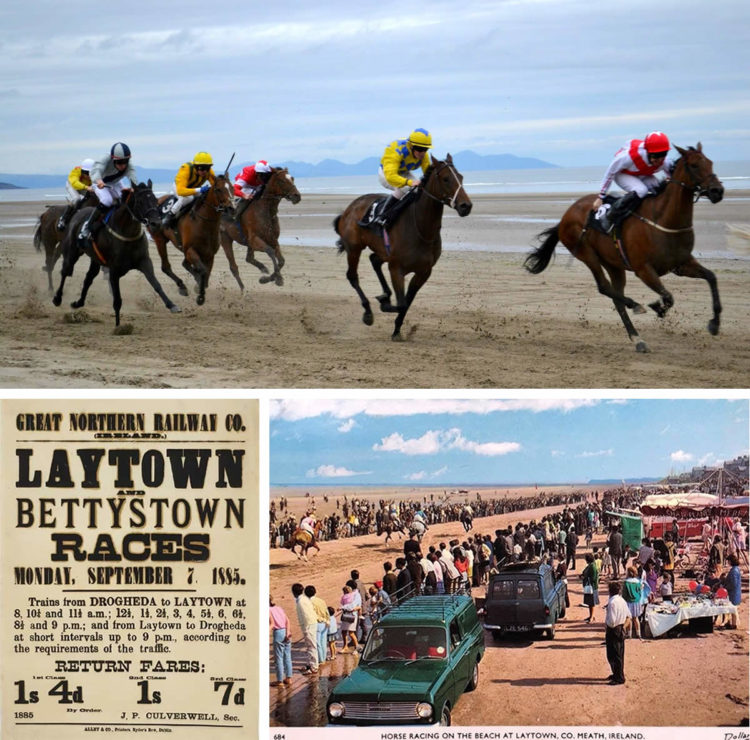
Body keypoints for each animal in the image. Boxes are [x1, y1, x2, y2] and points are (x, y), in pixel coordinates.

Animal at [52, 180, 181, 326]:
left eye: (155, 200)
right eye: (140, 201)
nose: (156, 223)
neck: (127, 233)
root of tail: (79, 212)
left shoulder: (144, 262)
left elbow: (156, 284)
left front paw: (172, 305)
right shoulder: (114, 270)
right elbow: (117, 300)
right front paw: (118, 326)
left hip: (95, 259)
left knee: (89, 277)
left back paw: (78, 302)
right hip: (72, 252)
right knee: (65, 272)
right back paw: (57, 298)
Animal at [150, 175, 235, 304]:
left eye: (232, 188)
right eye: (218, 189)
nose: (231, 209)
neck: (202, 222)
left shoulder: (209, 255)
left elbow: (206, 273)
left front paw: (199, 284)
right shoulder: (190, 250)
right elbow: (203, 272)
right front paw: (200, 296)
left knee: (184, 263)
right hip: (159, 239)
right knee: (165, 267)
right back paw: (182, 286)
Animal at [334, 158, 470, 342]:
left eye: (461, 177)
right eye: (446, 179)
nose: (466, 206)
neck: (420, 228)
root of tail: (348, 209)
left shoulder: (424, 272)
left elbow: (407, 302)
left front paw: (397, 329)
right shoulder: (396, 269)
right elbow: (402, 303)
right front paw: (385, 306)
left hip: (381, 251)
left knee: (374, 260)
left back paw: (385, 294)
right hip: (354, 248)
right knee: (352, 276)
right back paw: (368, 312)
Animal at [524, 146, 724, 354]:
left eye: (710, 162)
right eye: (694, 165)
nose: (717, 191)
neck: (663, 219)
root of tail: (564, 218)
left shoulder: (681, 264)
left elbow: (711, 277)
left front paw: (714, 323)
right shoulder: (644, 270)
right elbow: (668, 296)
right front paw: (658, 307)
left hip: (613, 264)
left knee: (616, 297)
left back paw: (637, 338)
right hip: (587, 255)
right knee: (604, 287)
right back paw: (635, 306)